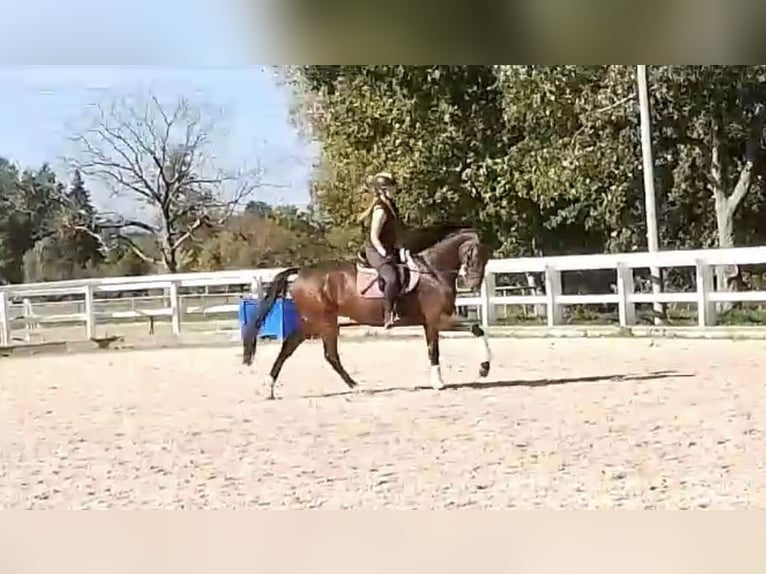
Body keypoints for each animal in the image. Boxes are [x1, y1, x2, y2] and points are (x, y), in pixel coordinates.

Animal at [243, 226, 496, 400]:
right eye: (474, 254)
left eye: (486, 257)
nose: (473, 283)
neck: (432, 272)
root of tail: (302, 273)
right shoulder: (439, 320)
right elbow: (475, 329)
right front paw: (483, 369)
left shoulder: (430, 324)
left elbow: (433, 350)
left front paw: (439, 382)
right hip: (323, 322)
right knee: (329, 354)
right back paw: (357, 386)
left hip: (312, 322)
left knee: (289, 347)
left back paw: (269, 388)